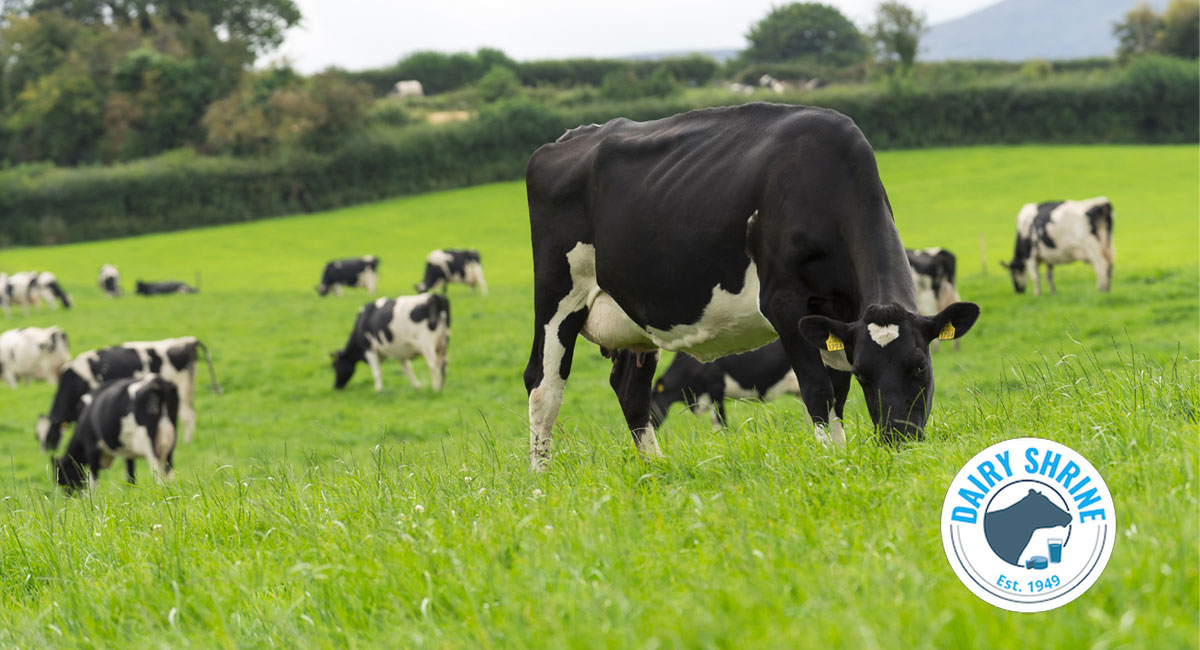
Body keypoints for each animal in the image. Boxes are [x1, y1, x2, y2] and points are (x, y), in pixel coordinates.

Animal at [38, 335, 223, 453]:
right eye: (37, 437)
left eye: (51, 436)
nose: (46, 453)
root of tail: (187, 341)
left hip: (182, 388)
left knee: (187, 415)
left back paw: (186, 445)